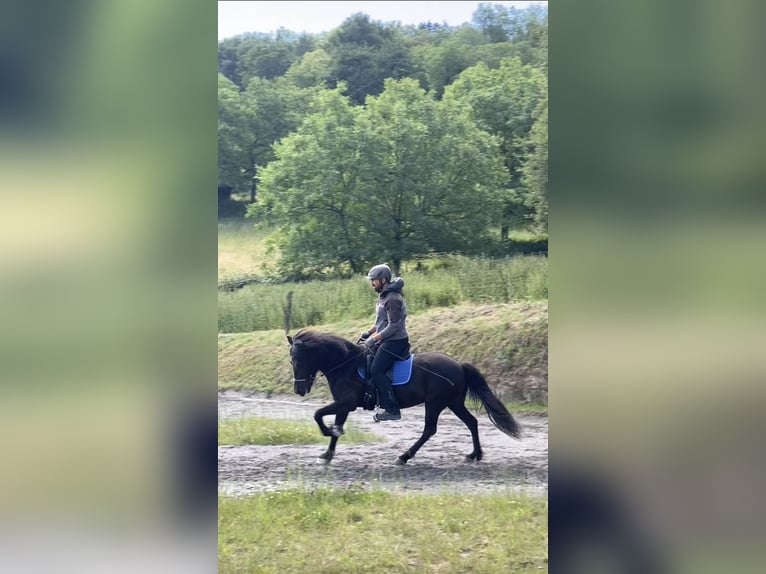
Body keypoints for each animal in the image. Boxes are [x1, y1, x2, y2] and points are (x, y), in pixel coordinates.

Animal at [286, 329, 521, 465]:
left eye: (297, 361)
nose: (299, 390)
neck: (347, 364)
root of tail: (459, 365)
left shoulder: (345, 403)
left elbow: (318, 415)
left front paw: (328, 432)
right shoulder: (344, 405)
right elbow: (334, 425)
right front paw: (328, 453)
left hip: (435, 403)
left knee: (429, 430)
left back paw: (404, 456)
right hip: (453, 403)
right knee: (471, 422)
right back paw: (475, 455)